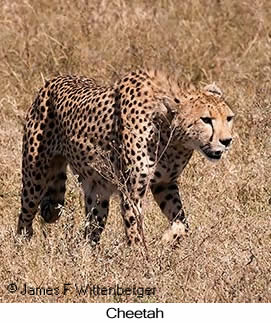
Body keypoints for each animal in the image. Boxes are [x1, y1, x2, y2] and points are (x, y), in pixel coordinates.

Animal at [18, 68, 235, 246]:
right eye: (206, 119)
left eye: (229, 118)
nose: (227, 141)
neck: (169, 135)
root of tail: (54, 79)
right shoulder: (131, 192)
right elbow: (135, 231)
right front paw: (141, 263)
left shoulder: (165, 184)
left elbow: (182, 222)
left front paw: (168, 238)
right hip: (35, 176)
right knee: (25, 215)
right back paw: (23, 246)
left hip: (98, 193)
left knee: (89, 230)